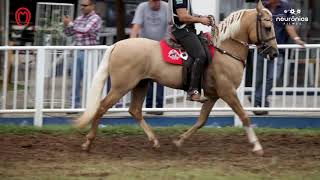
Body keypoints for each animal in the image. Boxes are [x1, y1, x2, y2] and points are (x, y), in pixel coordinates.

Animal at [74, 0, 278, 155]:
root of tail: (117, 45)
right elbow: (244, 116)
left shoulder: (213, 95)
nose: (274, 53)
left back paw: (154, 141)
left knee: (135, 110)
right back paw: (87, 143)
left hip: (141, 84)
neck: (225, 49)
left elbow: (201, 121)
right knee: (102, 107)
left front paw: (179, 141)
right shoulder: (227, 92)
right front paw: (257, 146)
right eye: (268, 27)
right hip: (121, 86)